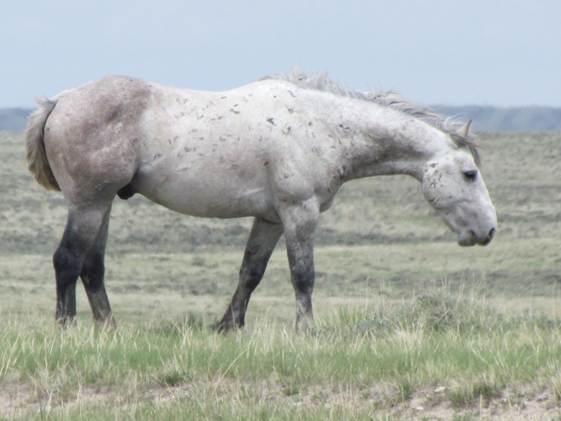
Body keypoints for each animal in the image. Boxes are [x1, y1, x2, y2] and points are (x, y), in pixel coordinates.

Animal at [24, 73, 496, 332]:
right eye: (469, 174)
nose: (488, 230)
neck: (323, 125)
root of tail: (59, 102)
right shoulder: (299, 212)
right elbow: (303, 276)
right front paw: (307, 331)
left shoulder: (269, 219)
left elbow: (251, 273)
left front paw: (228, 327)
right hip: (88, 203)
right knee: (67, 260)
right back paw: (66, 329)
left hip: (102, 205)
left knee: (91, 266)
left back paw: (110, 329)